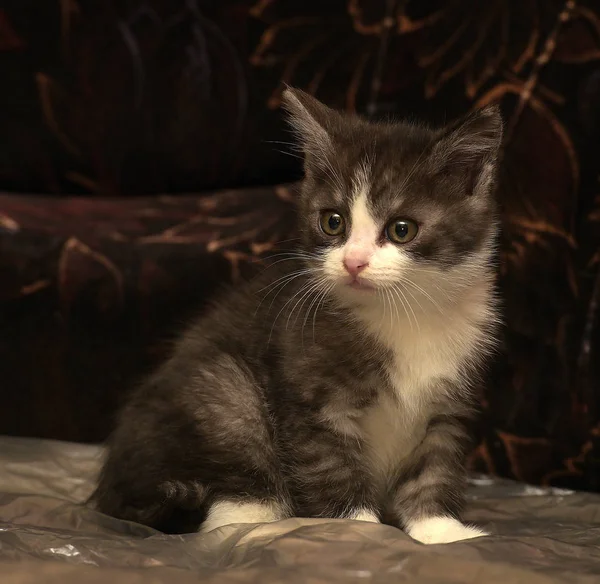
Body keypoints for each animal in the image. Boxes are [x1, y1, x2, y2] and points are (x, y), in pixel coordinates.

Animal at [94, 89, 504, 544]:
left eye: (402, 229)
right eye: (333, 222)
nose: (354, 262)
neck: (403, 313)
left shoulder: (449, 402)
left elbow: (434, 467)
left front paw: (442, 532)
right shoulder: (309, 394)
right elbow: (330, 467)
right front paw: (361, 531)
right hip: (223, 390)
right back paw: (257, 520)